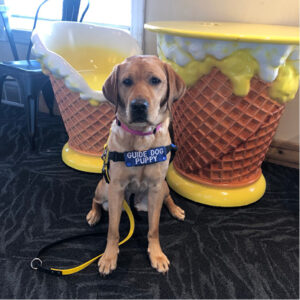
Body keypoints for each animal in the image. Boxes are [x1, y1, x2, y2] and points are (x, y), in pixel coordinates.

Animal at [85, 55, 186, 276]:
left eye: (155, 80)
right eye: (127, 81)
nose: (139, 106)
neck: (141, 139)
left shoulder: (156, 187)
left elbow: (154, 229)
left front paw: (156, 255)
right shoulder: (115, 188)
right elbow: (113, 230)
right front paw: (109, 257)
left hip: (162, 188)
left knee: (167, 198)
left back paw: (175, 210)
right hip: (103, 188)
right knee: (96, 201)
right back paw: (94, 214)